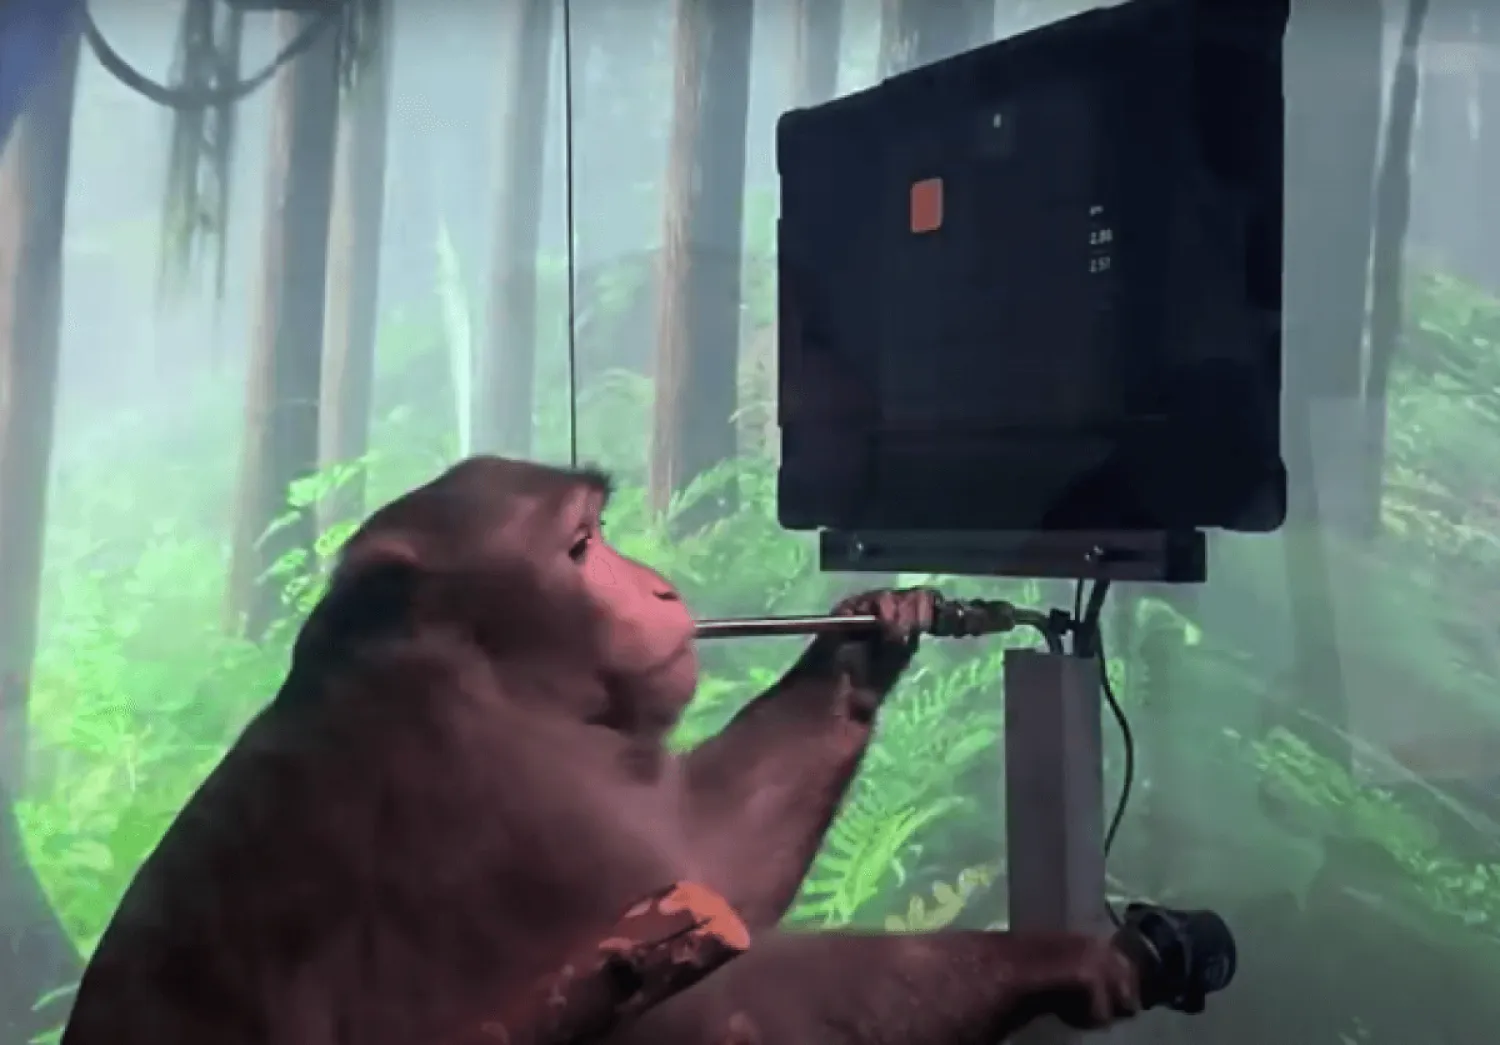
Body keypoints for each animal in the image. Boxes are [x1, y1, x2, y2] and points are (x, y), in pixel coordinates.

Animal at [59, 455, 1142, 1045]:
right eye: (582, 549)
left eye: (603, 532)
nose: (660, 588)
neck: (487, 668)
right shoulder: (506, 805)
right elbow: (719, 1011)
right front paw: (1058, 957)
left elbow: (714, 870)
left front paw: (867, 639)